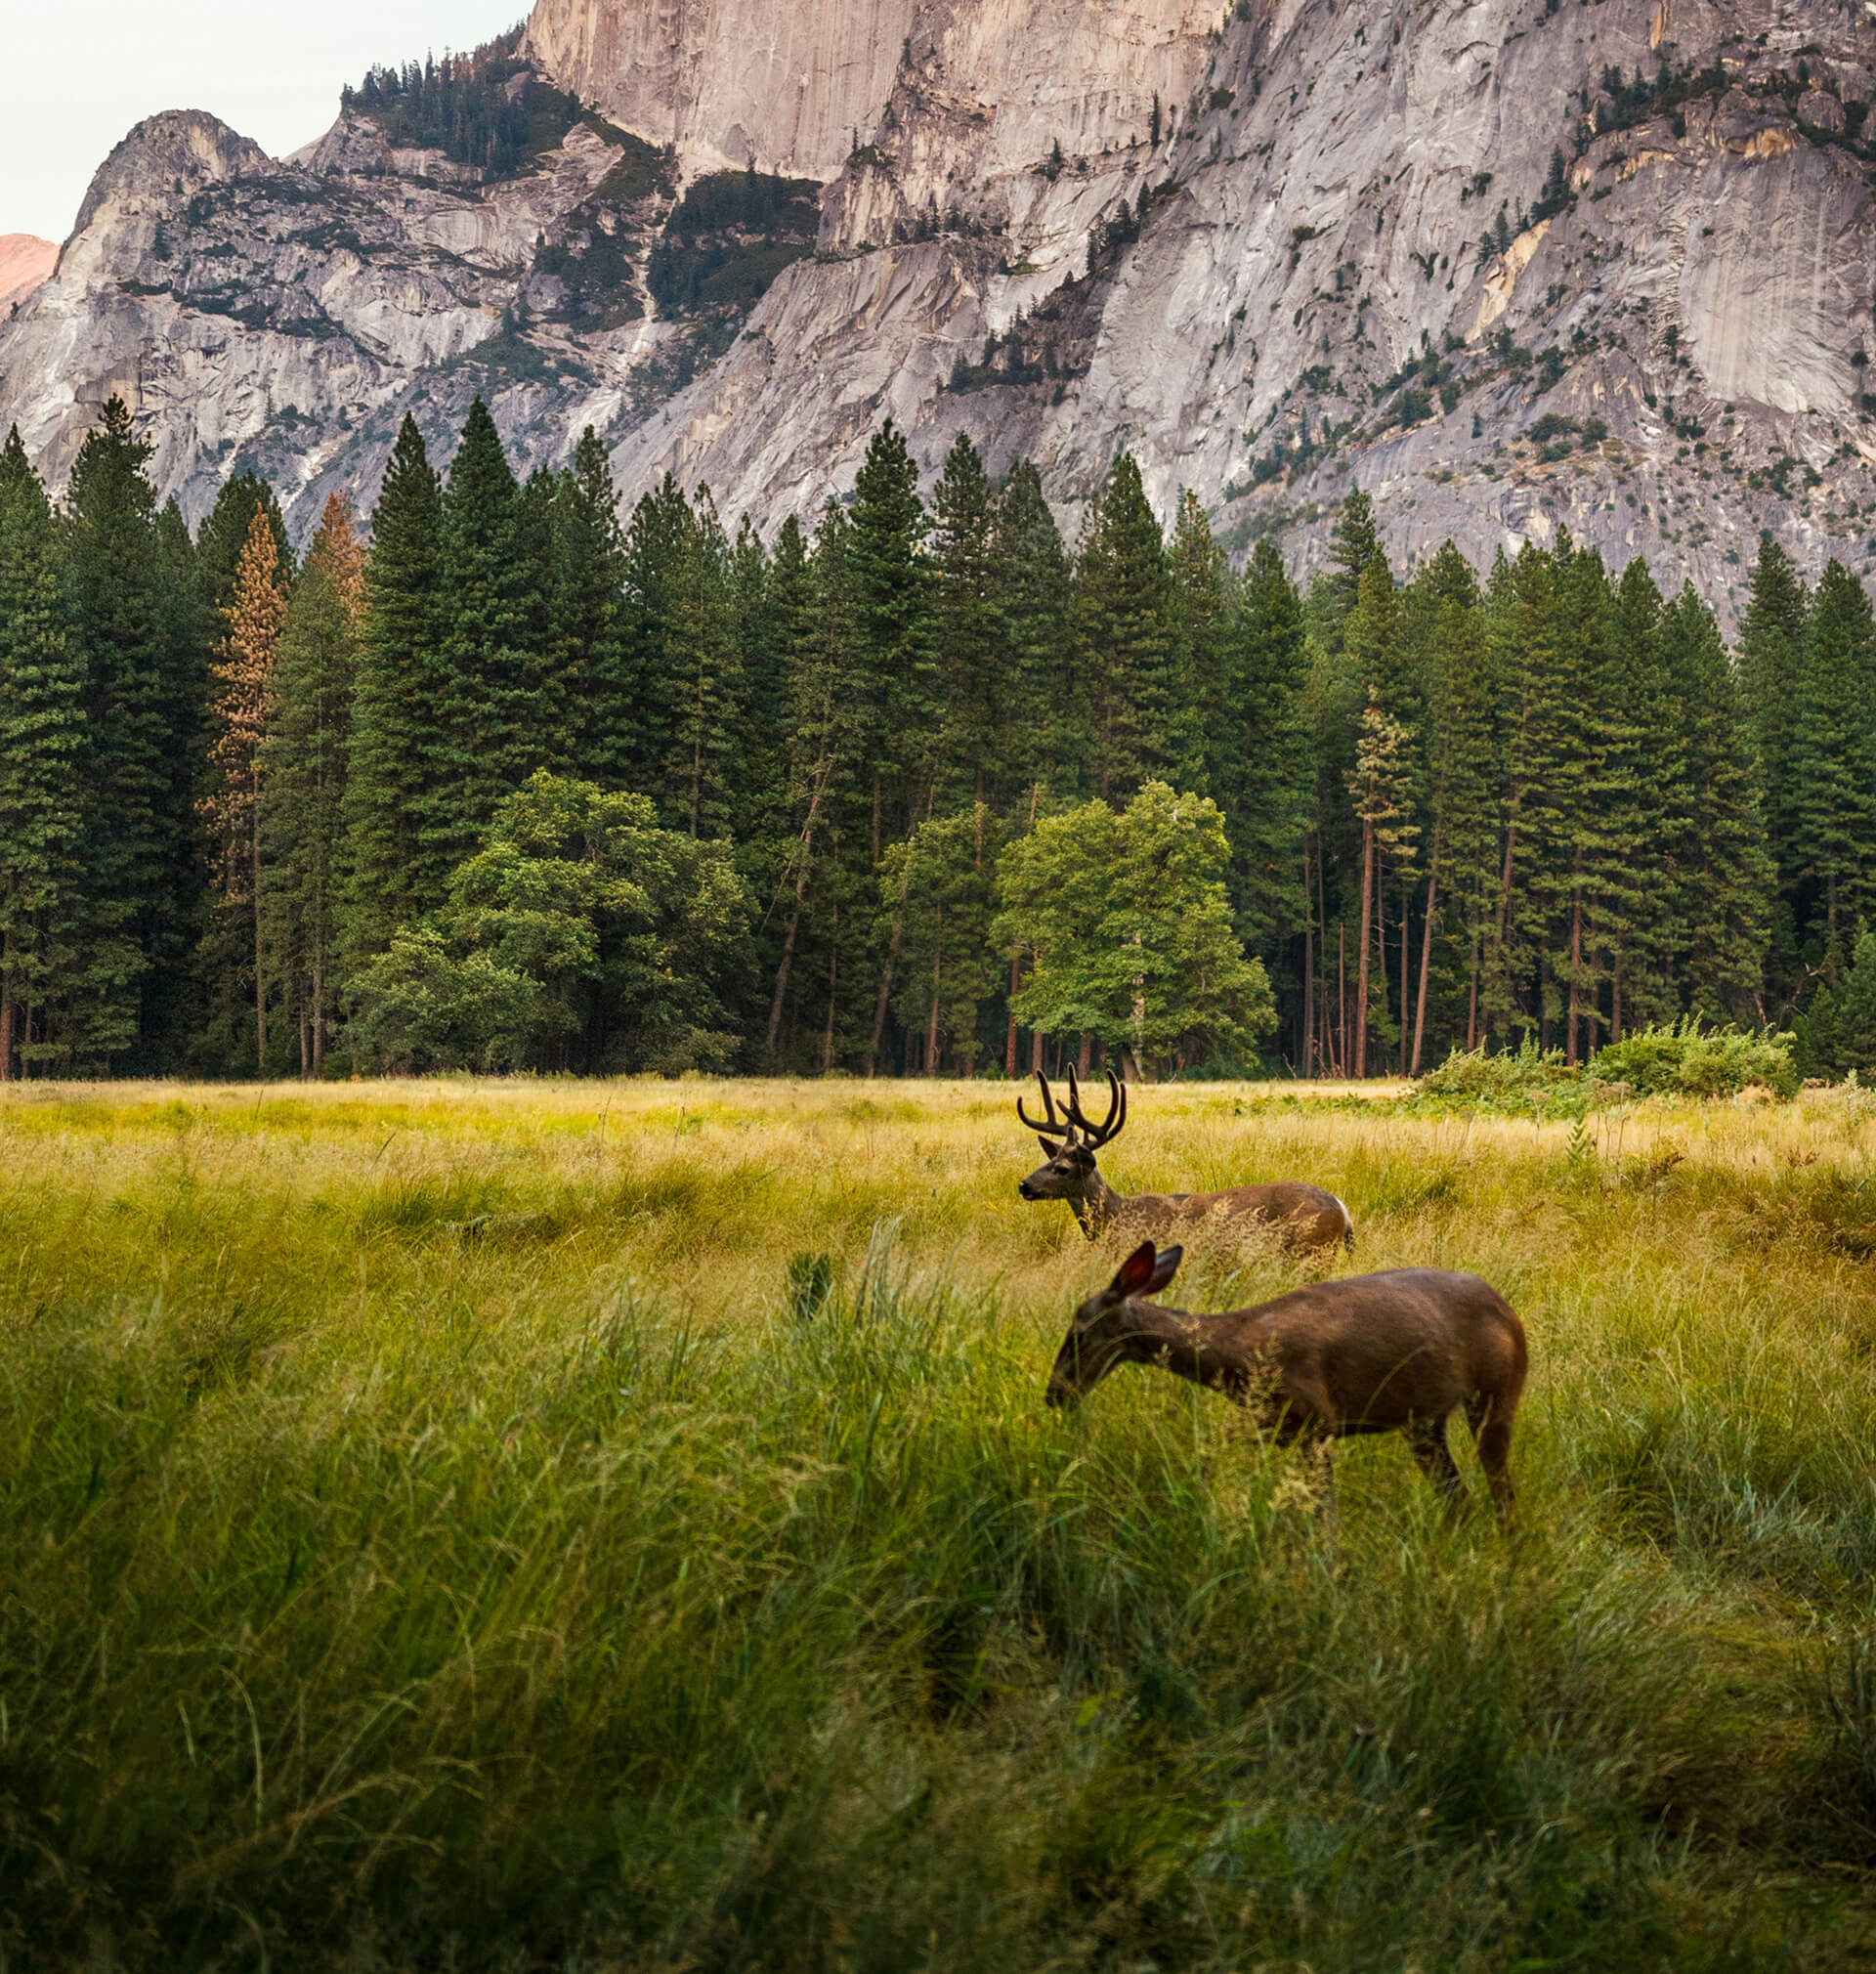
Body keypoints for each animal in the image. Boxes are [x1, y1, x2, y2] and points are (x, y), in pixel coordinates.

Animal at [1016, 1068, 1354, 1256]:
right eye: (1049, 1158)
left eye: (1063, 1168)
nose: (1024, 1185)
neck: (1118, 1217)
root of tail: (1342, 1209)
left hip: (1314, 1251)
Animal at [1044, 1242, 1527, 1523]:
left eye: (1078, 1333)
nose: (1054, 1395)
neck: (1240, 1356)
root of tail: (1509, 1312)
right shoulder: (1272, 1424)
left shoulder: (1317, 1421)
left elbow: (1324, 1516)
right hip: (1423, 1422)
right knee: (1458, 1496)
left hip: (1497, 1393)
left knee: (1502, 1496)